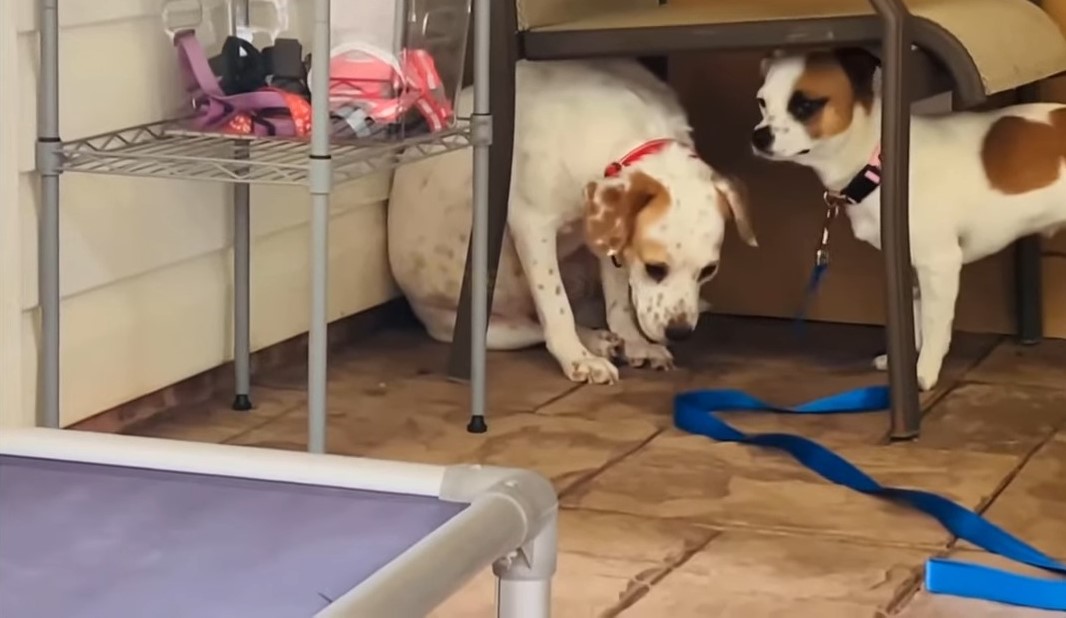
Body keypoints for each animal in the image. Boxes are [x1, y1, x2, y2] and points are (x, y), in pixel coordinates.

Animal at [390, 60, 758, 383]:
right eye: (655, 268)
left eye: (709, 271)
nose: (680, 332)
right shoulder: (532, 225)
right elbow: (556, 308)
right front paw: (578, 359)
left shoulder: (607, 233)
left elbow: (618, 301)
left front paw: (633, 341)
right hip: (483, 325)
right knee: (537, 325)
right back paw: (592, 345)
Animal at [750, 48, 1066, 387]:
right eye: (762, 102)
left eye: (806, 105)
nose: (759, 136)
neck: (877, 158)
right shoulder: (911, 264)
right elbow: (913, 319)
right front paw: (899, 360)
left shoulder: (939, 265)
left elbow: (933, 324)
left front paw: (922, 372)